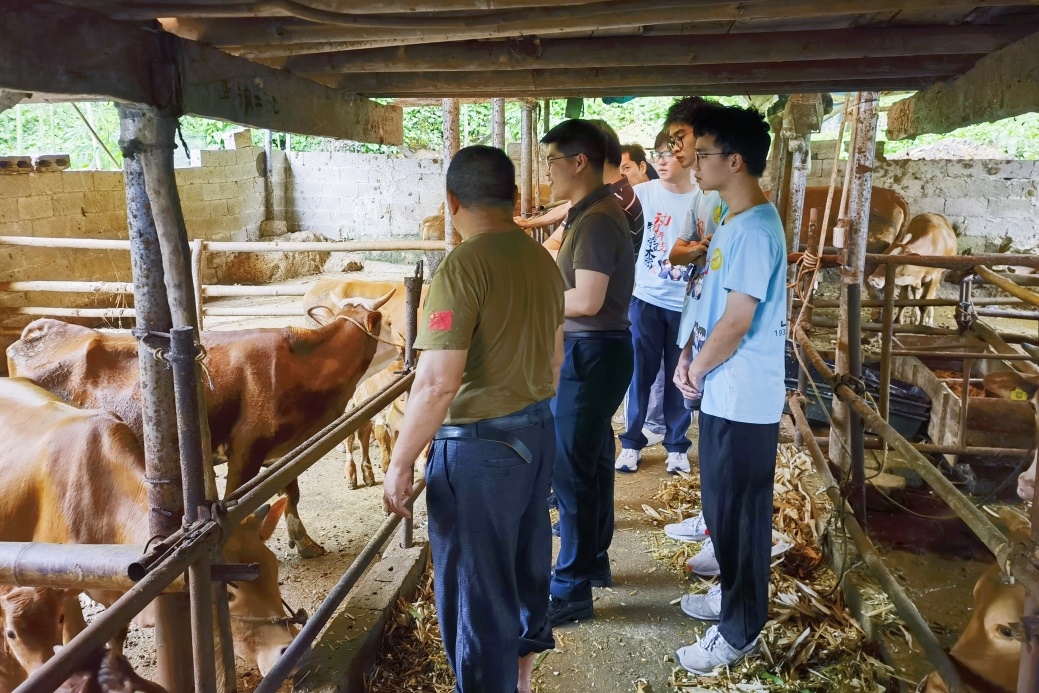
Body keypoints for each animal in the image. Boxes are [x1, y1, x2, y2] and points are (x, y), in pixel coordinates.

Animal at [7, 292, 397, 559]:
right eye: (387, 322)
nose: (405, 346)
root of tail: (41, 327)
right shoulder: (246, 450)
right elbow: (240, 502)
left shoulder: (285, 450)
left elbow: (292, 493)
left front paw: (304, 542)